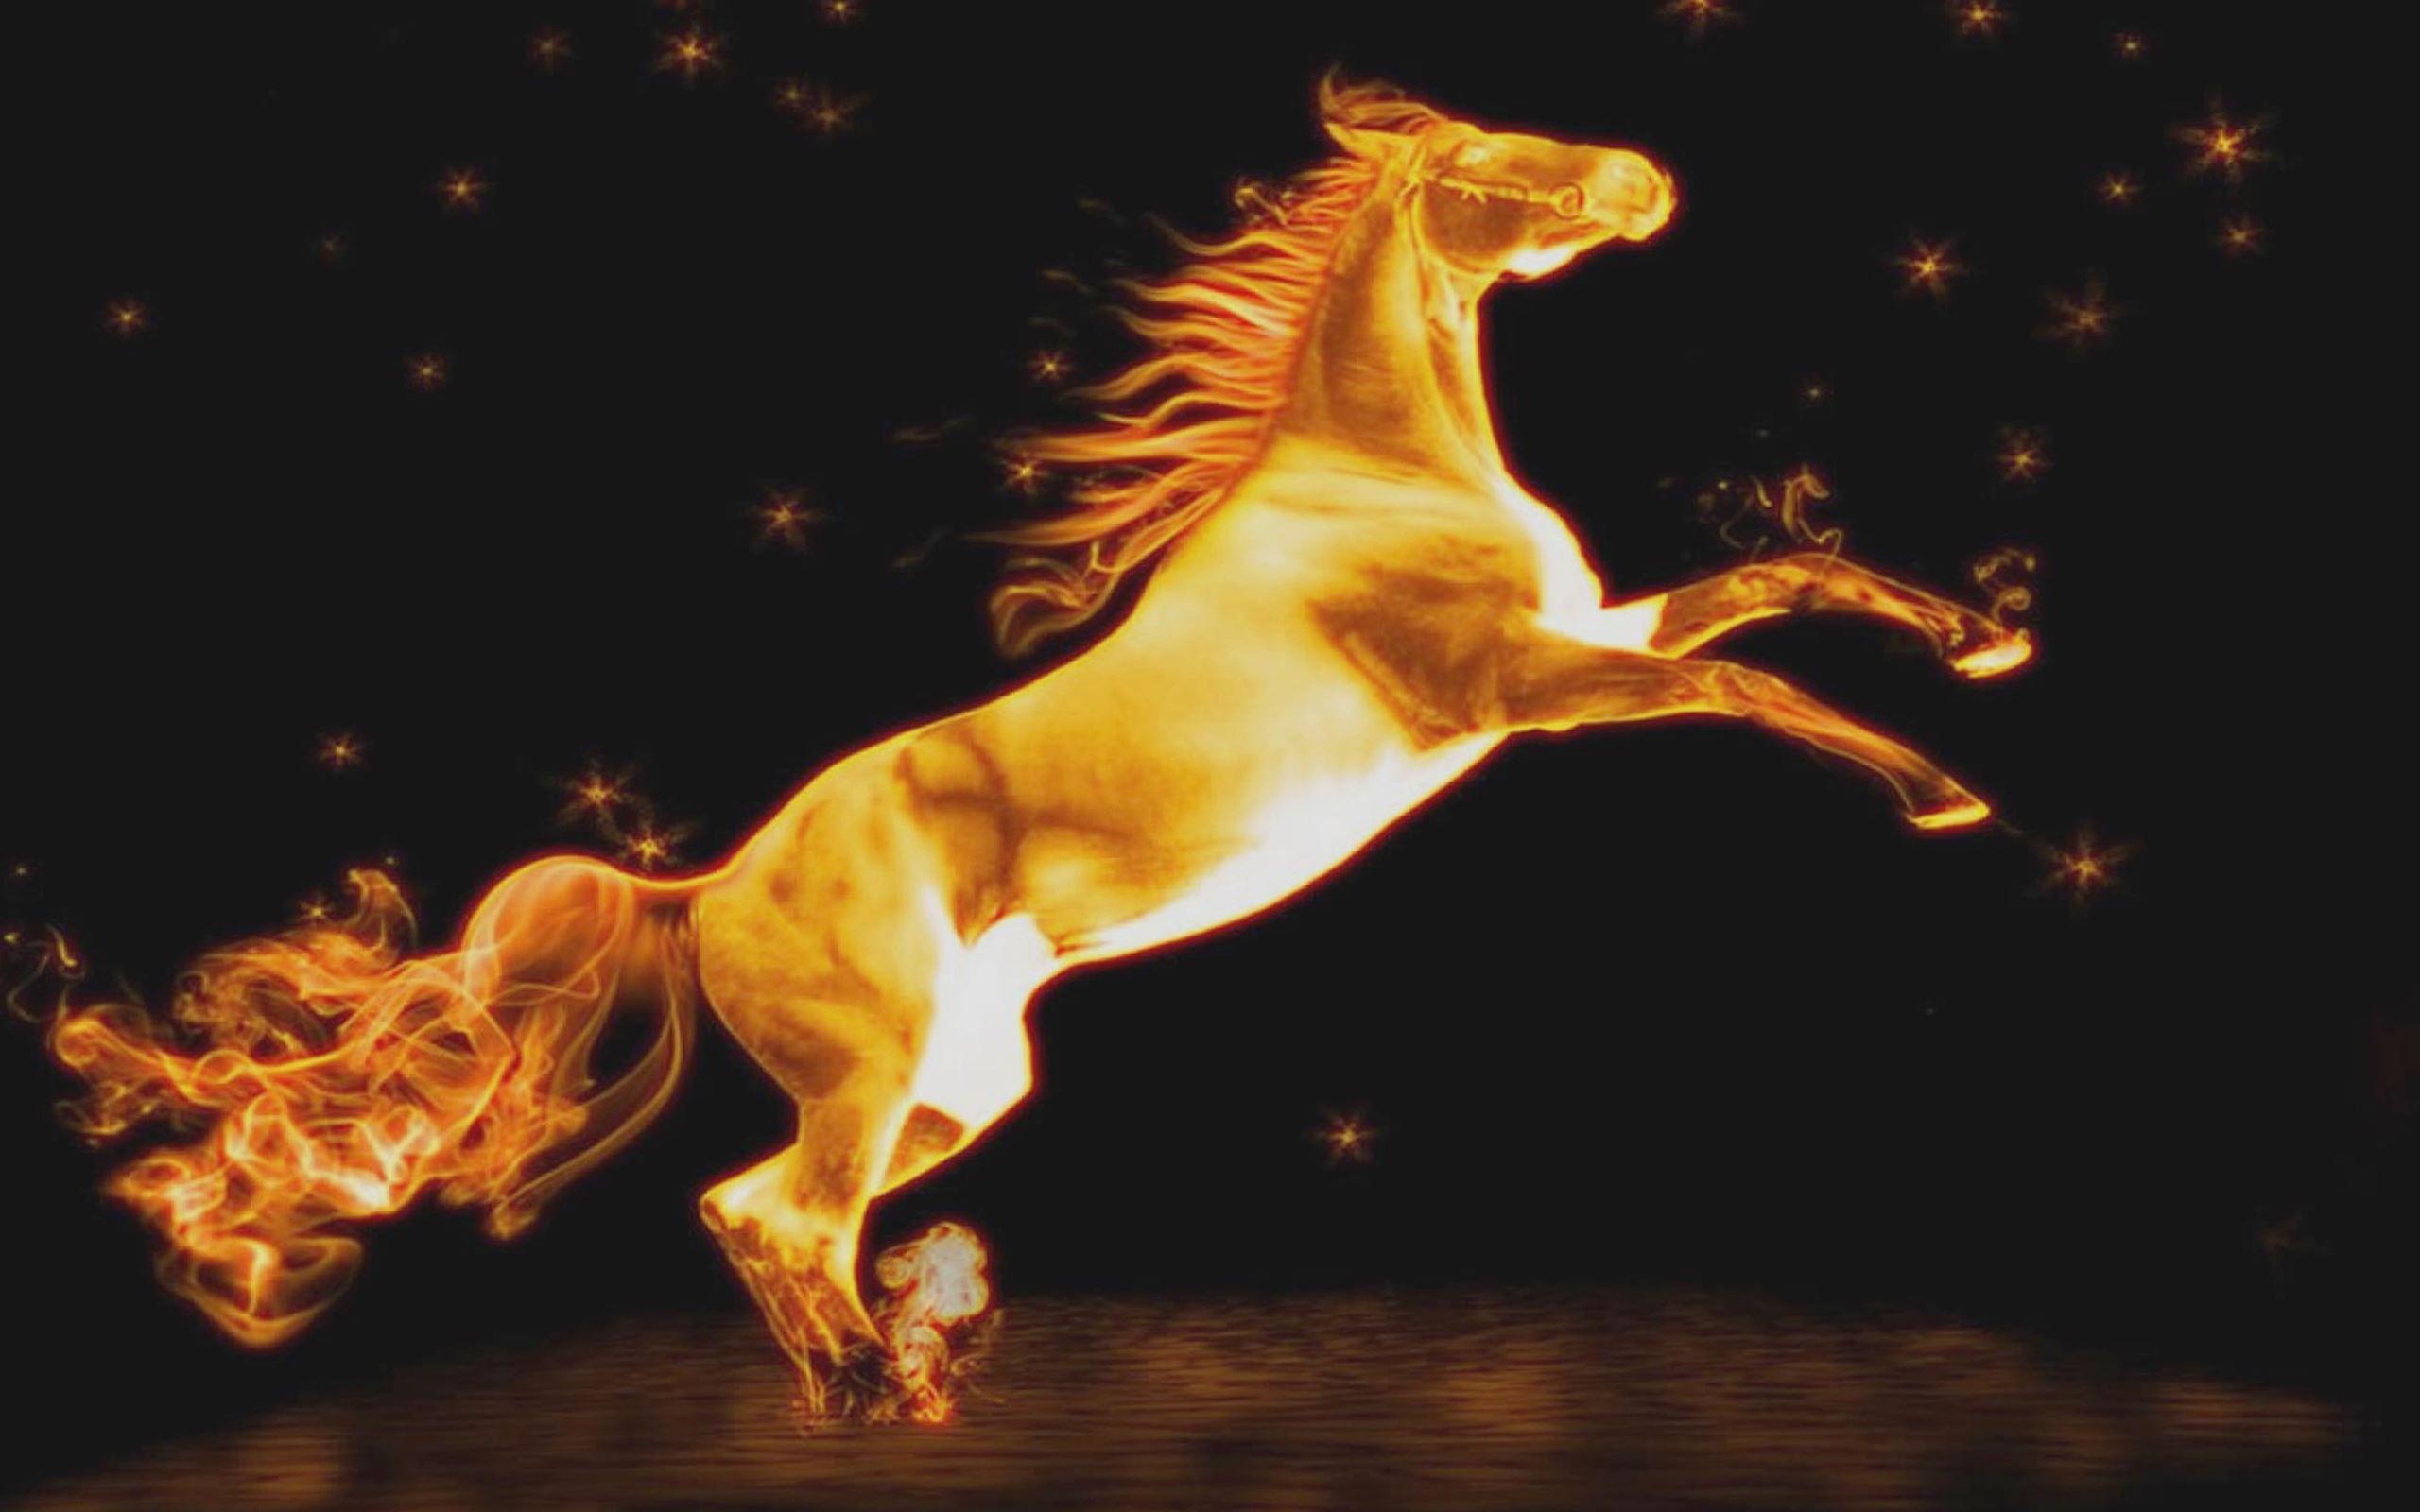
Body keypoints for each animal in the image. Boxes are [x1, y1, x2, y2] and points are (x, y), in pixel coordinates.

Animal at [43, 76, 2031, 1422]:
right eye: (1482, 162)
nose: (1643, 175)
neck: (1372, 478)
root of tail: (707, 888)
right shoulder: (1519, 691)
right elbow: (1753, 694)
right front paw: (1948, 796)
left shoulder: (1591, 639)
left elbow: (1789, 574)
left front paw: (1992, 642)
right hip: (873, 1074)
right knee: (788, 1213)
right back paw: (871, 1396)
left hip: (959, 1080)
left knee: (744, 1203)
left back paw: (860, 1389)